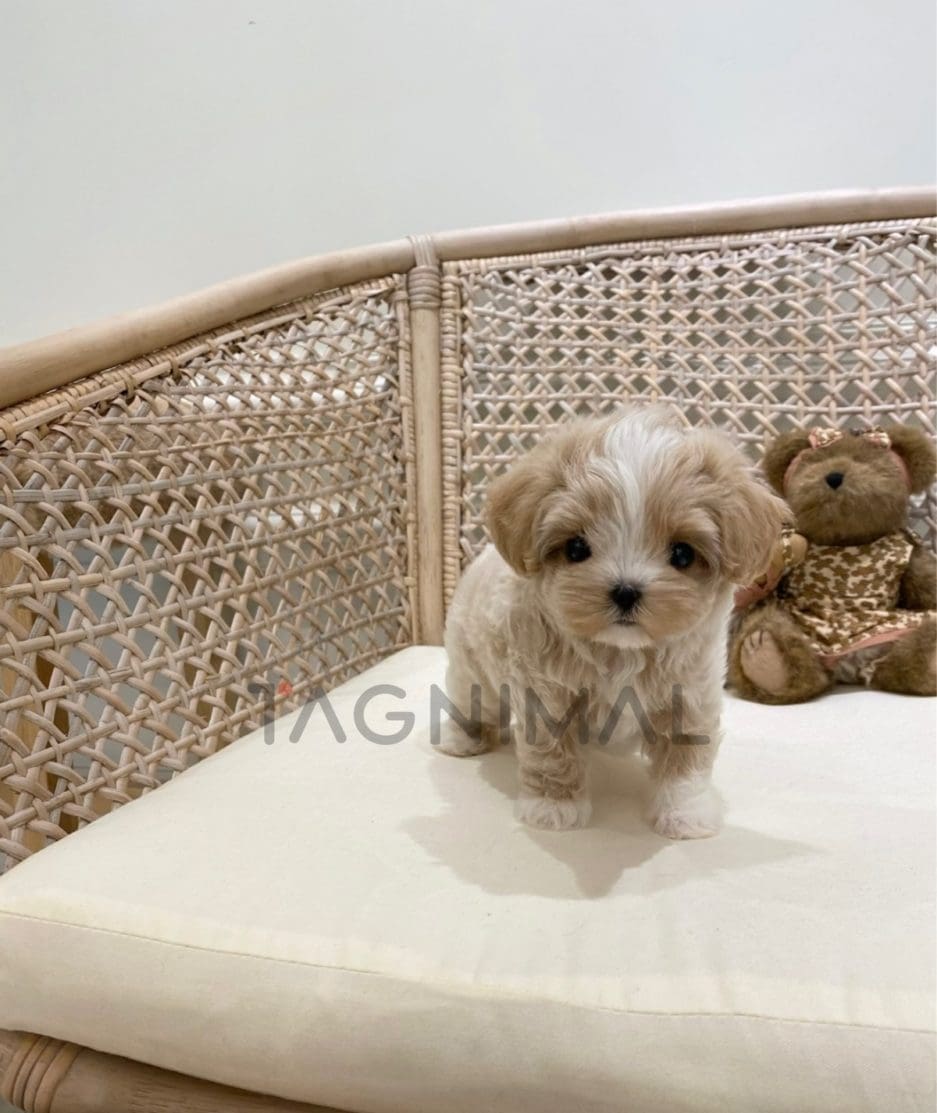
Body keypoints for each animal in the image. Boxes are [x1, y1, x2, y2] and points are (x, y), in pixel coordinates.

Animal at [439, 406, 785, 837]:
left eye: (682, 554)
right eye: (576, 548)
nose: (625, 591)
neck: (621, 650)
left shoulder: (691, 694)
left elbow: (686, 760)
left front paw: (685, 814)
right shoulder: (546, 696)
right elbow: (552, 753)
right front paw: (554, 807)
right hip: (471, 664)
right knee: (471, 699)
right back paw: (461, 739)